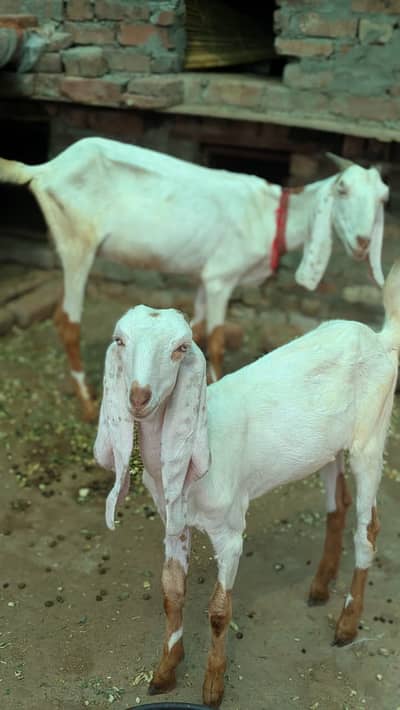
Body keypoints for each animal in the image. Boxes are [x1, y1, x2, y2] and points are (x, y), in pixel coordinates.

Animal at [0, 138, 389, 419]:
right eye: (342, 189)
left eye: (383, 199)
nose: (361, 243)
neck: (268, 215)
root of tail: (46, 170)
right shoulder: (220, 278)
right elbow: (215, 341)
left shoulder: (204, 276)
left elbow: (197, 333)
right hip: (77, 243)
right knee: (67, 321)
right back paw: (85, 402)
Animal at [94, 259, 400, 708]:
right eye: (120, 340)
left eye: (180, 348)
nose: (138, 396)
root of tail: (379, 339)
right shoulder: (173, 523)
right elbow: (172, 593)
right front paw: (165, 672)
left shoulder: (230, 530)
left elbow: (220, 610)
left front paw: (213, 687)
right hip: (327, 450)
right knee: (338, 504)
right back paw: (320, 586)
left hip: (370, 439)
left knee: (369, 528)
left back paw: (346, 624)